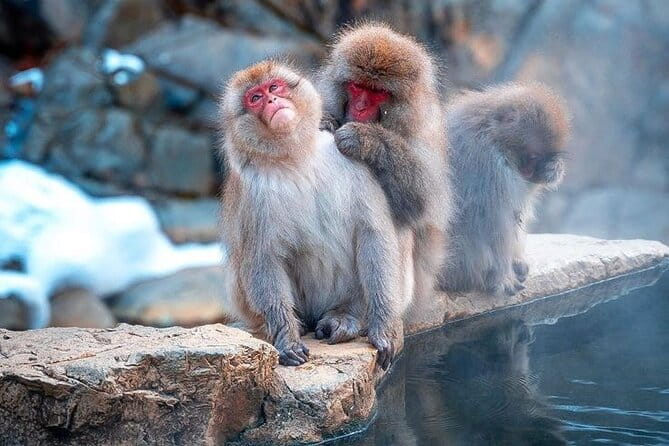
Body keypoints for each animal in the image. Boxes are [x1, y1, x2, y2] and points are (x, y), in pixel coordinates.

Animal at [219, 60, 412, 369]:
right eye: (255, 98)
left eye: (274, 87)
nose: (272, 101)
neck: (296, 156)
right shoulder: (253, 192)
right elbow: (263, 259)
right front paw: (286, 337)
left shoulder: (352, 161)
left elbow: (374, 234)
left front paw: (385, 327)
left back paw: (347, 316)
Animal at [318, 23, 452, 314]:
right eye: (357, 87)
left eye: (377, 92)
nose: (359, 107)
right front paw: (325, 121)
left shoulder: (424, 127)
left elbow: (421, 202)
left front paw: (365, 139)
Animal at [440, 83, 570, 295]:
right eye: (532, 156)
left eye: (542, 157)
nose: (529, 171)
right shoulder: (487, 163)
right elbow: (492, 219)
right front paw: (503, 277)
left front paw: (553, 169)